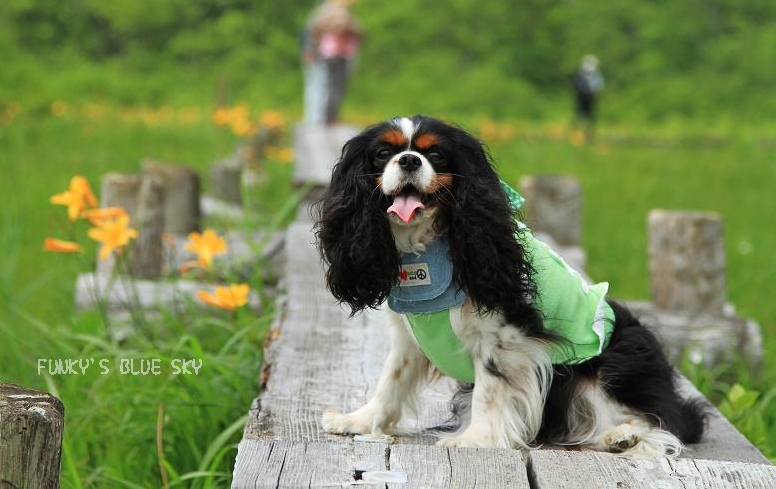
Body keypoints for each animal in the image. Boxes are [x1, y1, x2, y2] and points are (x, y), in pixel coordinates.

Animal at [312, 115, 708, 458]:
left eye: (436, 154)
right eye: (384, 153)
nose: (409, 159)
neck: (426, 242)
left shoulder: (502, 336)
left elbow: (489, 389)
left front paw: (474, 439)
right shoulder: (409, 339)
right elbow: (391, 380)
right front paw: (359, 421)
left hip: (611, 363)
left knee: (659, 422)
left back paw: (622, 436)